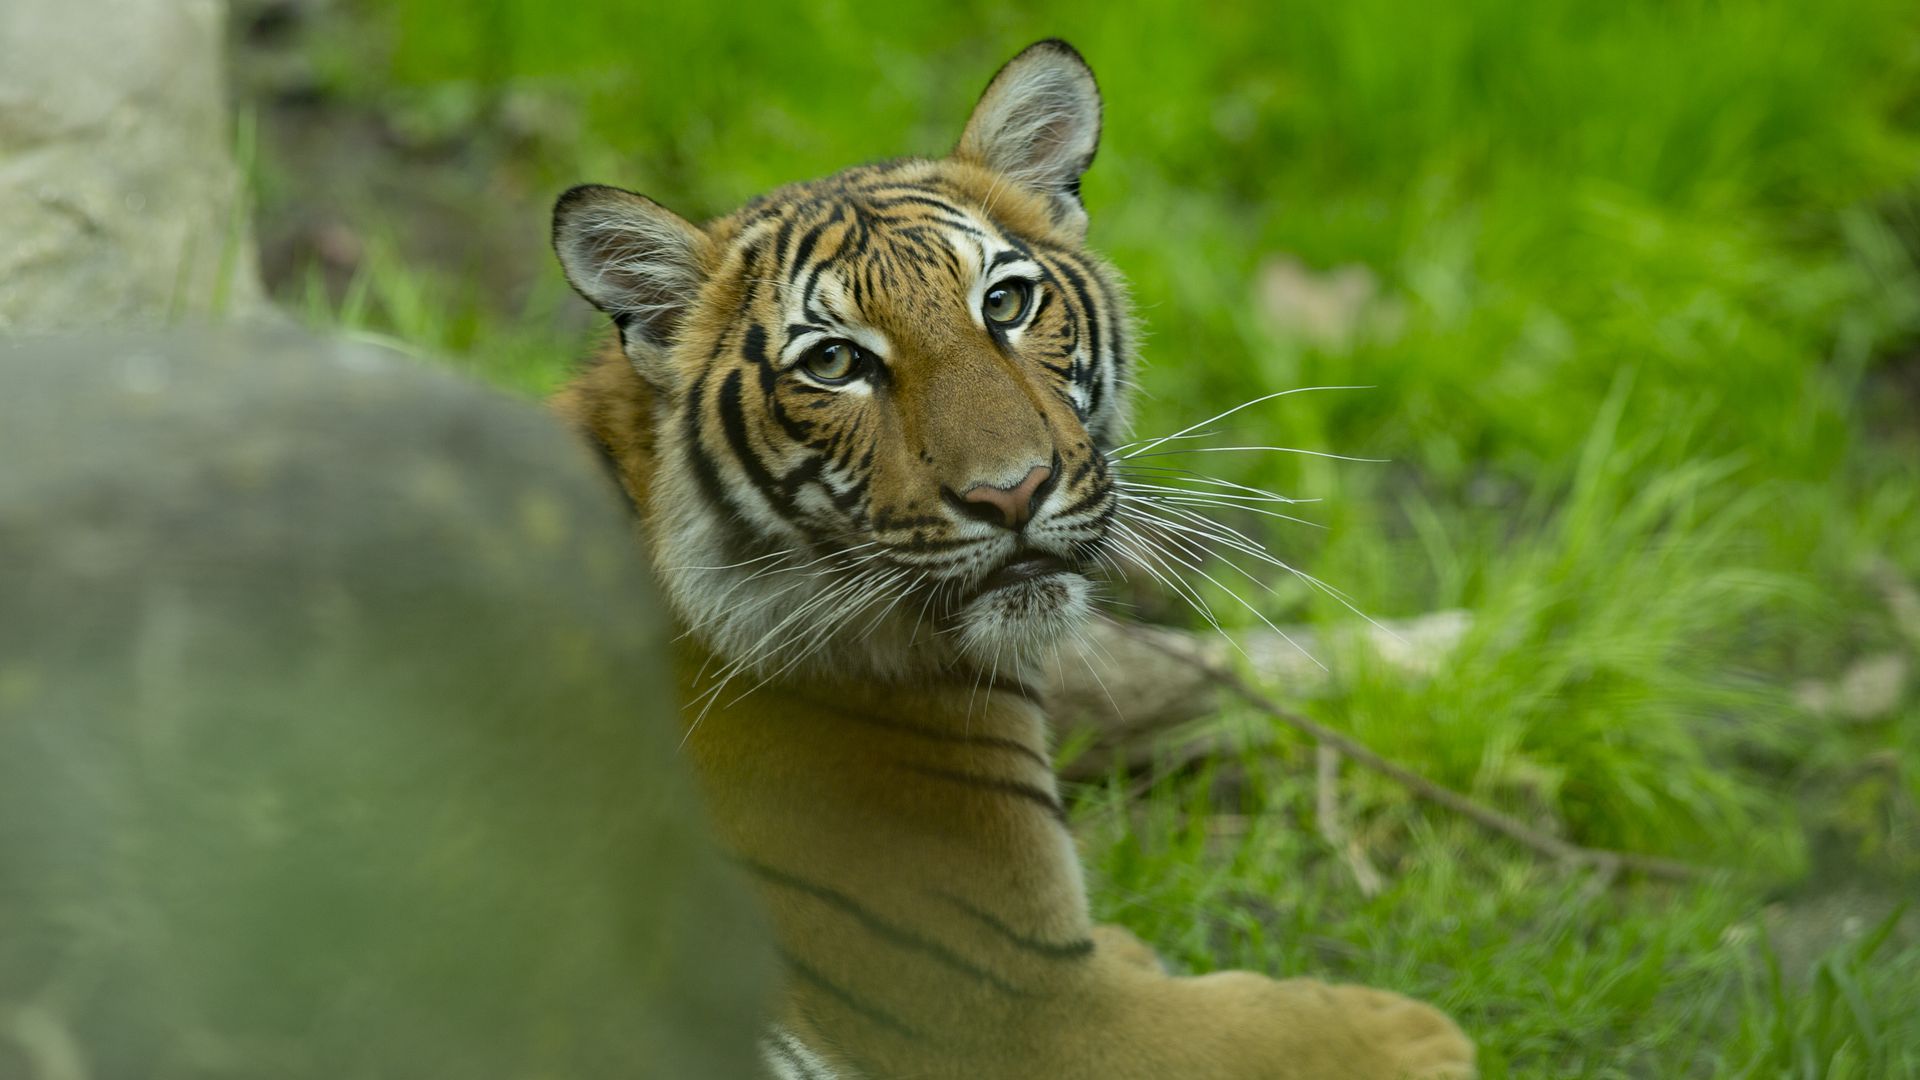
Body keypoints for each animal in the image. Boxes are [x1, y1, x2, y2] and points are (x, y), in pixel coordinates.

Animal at [550, 38, 1476, 1080]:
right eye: (834, 363)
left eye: (1006, 301)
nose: (1014, 492)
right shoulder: (1025, 1006)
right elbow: (1259, 1028)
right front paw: (1413, 1033)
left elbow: (1199, 669)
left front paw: (1453, 654)